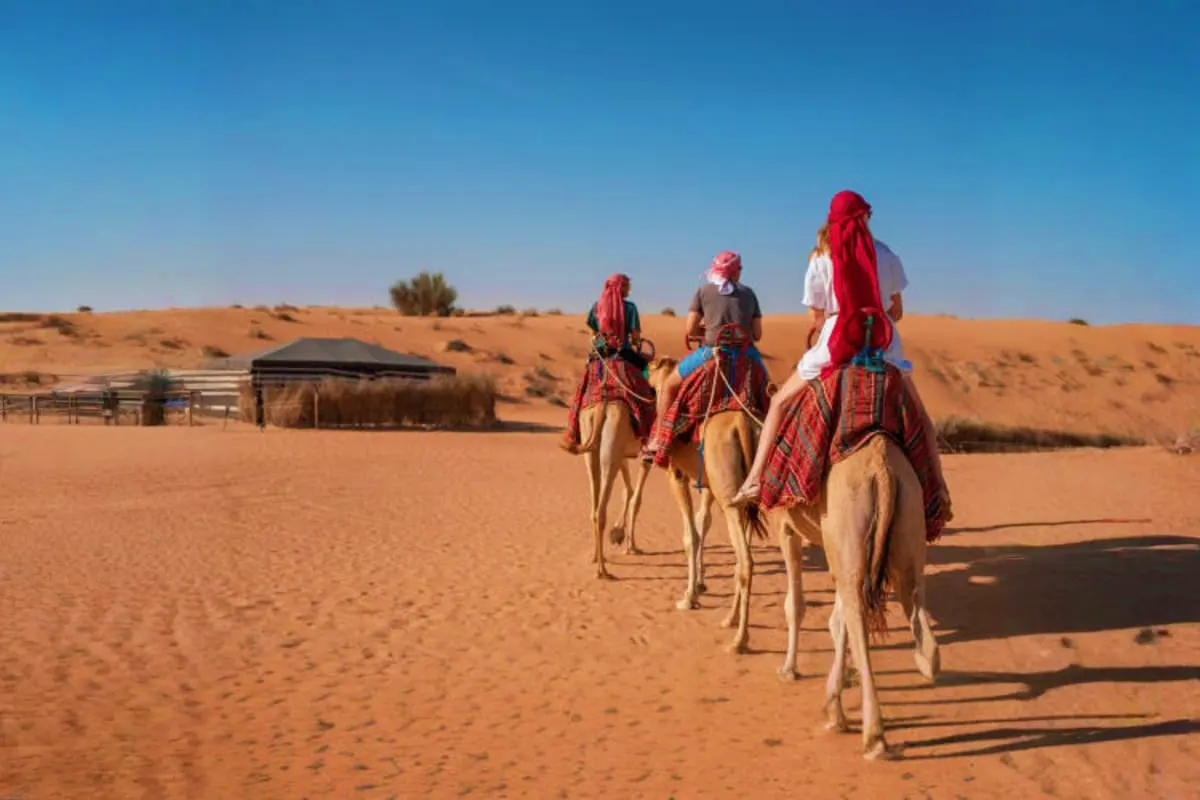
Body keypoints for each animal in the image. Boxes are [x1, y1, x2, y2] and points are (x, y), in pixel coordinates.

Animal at [576, 400, 653, 579]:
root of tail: (601, 408)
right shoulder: (648, 450)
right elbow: (635, 498)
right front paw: (630, 546)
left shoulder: (624, 454)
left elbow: (628, 491)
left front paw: (619, 535)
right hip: (612, 444)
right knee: (600, 511)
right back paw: (602, 571)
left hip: (592, 447)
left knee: (594, 509)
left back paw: (596, 557)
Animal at [646, 356, 768, 654]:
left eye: (651, 371)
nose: (648, 381)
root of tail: (743, 424)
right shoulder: (709, 486)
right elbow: (703, 524)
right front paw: (700, 585)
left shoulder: (676, 475)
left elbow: (690, 535)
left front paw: (688, 597)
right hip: (745, 495)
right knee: (741, 555)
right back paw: (730, 619)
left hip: (729, 494)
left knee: (746, 561)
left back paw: (739, 640)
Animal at [767, 433, 941, 760]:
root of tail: (881, 468)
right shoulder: (834, 546)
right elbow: (837, 622)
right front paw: (836, 700)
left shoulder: (786, 526)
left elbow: (794, 606)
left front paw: (788, 670)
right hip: (908, 519)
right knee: (919, 620)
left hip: (849, 520)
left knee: (858, 617)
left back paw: (873, 737)